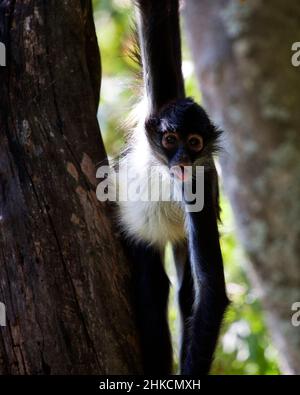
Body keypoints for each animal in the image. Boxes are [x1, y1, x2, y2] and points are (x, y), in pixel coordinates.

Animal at [116, 0, 229, 376]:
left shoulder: (199, 183)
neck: (165, 172)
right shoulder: (160, 101)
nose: (181, 158)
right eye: (170, 140)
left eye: (194, 143)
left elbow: (209, 292)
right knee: (153, 284)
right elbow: (155, 13)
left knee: (183, 292)